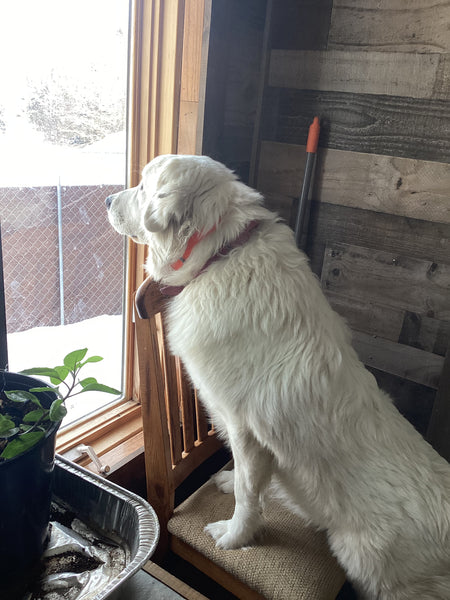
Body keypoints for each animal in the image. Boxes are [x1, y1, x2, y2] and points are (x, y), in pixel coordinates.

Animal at [108, 156, 450, 600]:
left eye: (143, 188)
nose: (108, 199)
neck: (221, 255)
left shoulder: (246, 431)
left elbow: (247, 495)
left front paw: (234, 537)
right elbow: (244, 480)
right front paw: (229, 482)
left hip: (373, 569)